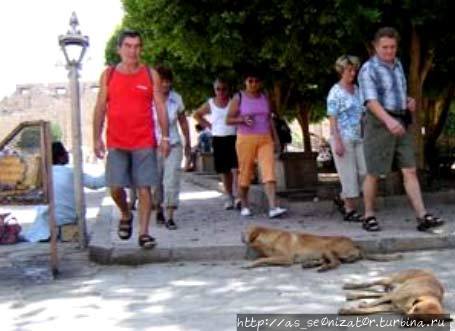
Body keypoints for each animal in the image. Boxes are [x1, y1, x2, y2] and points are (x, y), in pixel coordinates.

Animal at [240, 226, 400, 272]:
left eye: (246, 231)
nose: (240, 235)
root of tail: (356, 244)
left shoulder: (286, 259)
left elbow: (263, 259)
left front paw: (250, 264)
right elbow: (264, 257)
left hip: (328, 247)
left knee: (336, 263)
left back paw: (323, 268)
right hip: (324, 252)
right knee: (329, 261)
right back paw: (312, 264)